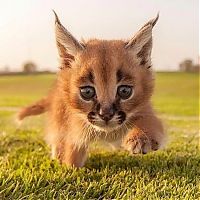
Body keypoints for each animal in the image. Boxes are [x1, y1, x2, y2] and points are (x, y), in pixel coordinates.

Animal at [18, 11, 166, 167]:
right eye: (87, 92)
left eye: (125, 91)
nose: (105, 115)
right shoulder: (74, 130)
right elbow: (72, 154)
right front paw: (69, 166)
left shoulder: (145, 109)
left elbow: (149, 122)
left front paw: (140, 138)